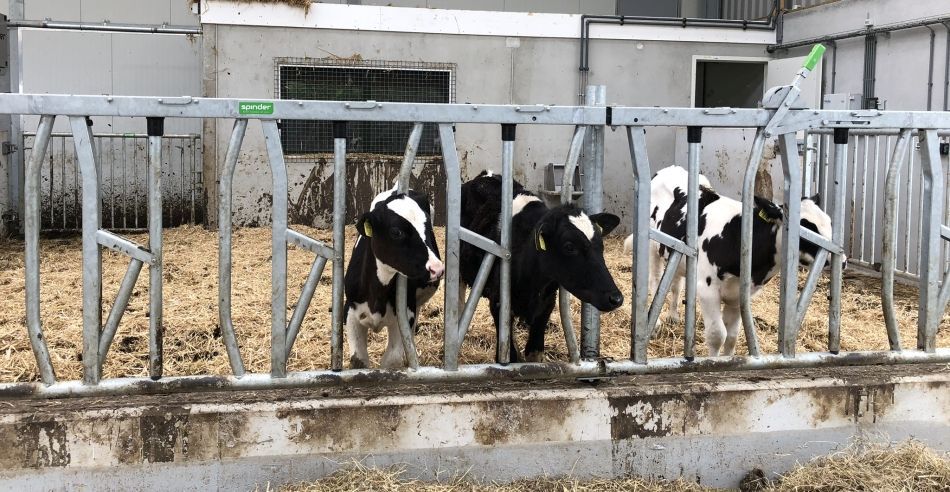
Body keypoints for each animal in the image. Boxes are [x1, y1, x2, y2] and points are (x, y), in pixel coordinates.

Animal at [344, 186, 444, 368]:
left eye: (428, 228)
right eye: (396, 232)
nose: (437, 269)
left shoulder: (405, 314)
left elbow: (391, 361)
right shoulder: (350, 312)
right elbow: (358, 360)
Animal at [460, 171, 624, 364]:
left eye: (601, 244)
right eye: (569, 246)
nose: (616, 298)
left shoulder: (546, 304)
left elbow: (535, 354)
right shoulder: (498, 301)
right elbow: (510, 355)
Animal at [660, 186, 844, 356]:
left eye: (830, 223)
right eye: (806, 226)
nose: (842, 262)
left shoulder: (739, 295)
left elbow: (732, 337)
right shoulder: (707, 289)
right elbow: (717, 335)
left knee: (676, 284)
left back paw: (673, 316)